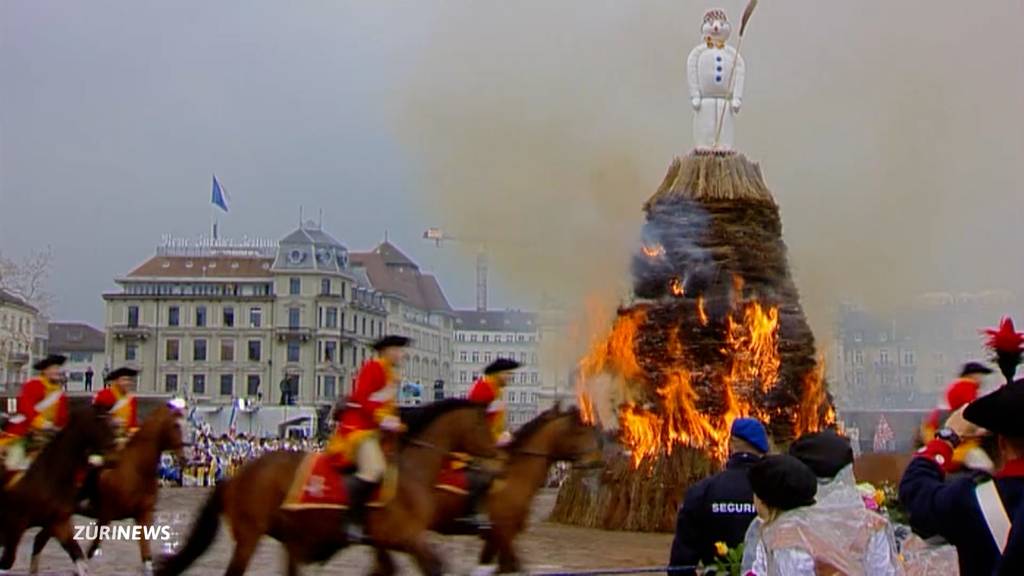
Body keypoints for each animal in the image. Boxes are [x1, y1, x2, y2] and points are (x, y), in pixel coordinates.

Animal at [0, 403, 115, 573]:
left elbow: (78, 557)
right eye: (99, 420)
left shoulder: (59, 524)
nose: (114, 446)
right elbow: (7, 562)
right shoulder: (15, 526)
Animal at [28, 401, 187, 569]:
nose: (184, 459)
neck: (136, 468)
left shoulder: (143, 515)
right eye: (176, 425)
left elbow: (146, 557)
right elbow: (91, 550)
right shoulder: (105, 516)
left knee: (39, 540)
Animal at [155, 397, 499, 573]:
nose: (500, 452)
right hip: (250, 535)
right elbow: (433, 564)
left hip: (291, 537)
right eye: (483, 424)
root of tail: (236, 478)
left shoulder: (388, 542)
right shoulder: (403, 537)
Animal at [372, 403, 602, 573]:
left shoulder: (495, 539)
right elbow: (512, 566)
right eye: (580, 430)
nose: (596, 460)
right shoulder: (503, 534)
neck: (514, 475)